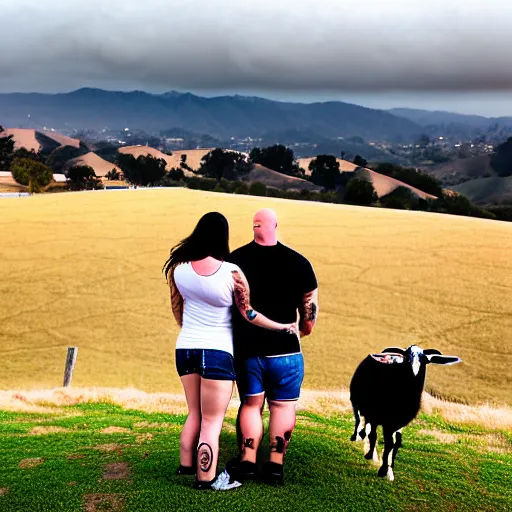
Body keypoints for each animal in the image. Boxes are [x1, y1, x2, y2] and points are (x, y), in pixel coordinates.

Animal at [350, 344, 462, 480]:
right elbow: (387, 442)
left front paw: (390, 467)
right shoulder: (385, 420)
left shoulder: (399, 422)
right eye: (407, 358)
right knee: (360, 421)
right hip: (357, 403)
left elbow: (396, 443)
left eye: (425, 360)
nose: (414, 374)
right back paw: (360, 442)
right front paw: (383, 469)